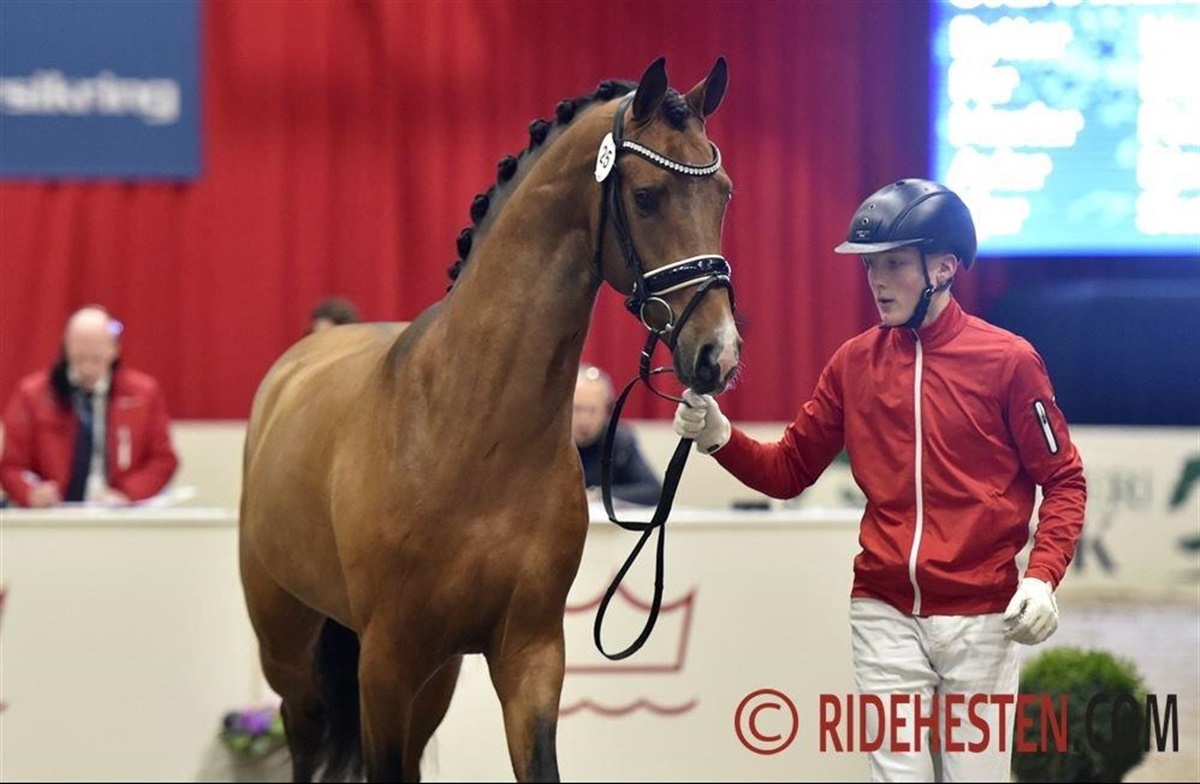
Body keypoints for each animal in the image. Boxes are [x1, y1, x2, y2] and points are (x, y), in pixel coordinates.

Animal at [238, 56, 741, 783]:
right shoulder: (385, 663)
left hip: (433, 675)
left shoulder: (530, 655)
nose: (718, 355)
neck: (471, 433)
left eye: (723, 194)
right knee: (303, 736)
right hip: (288, 642)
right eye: (646, 196)